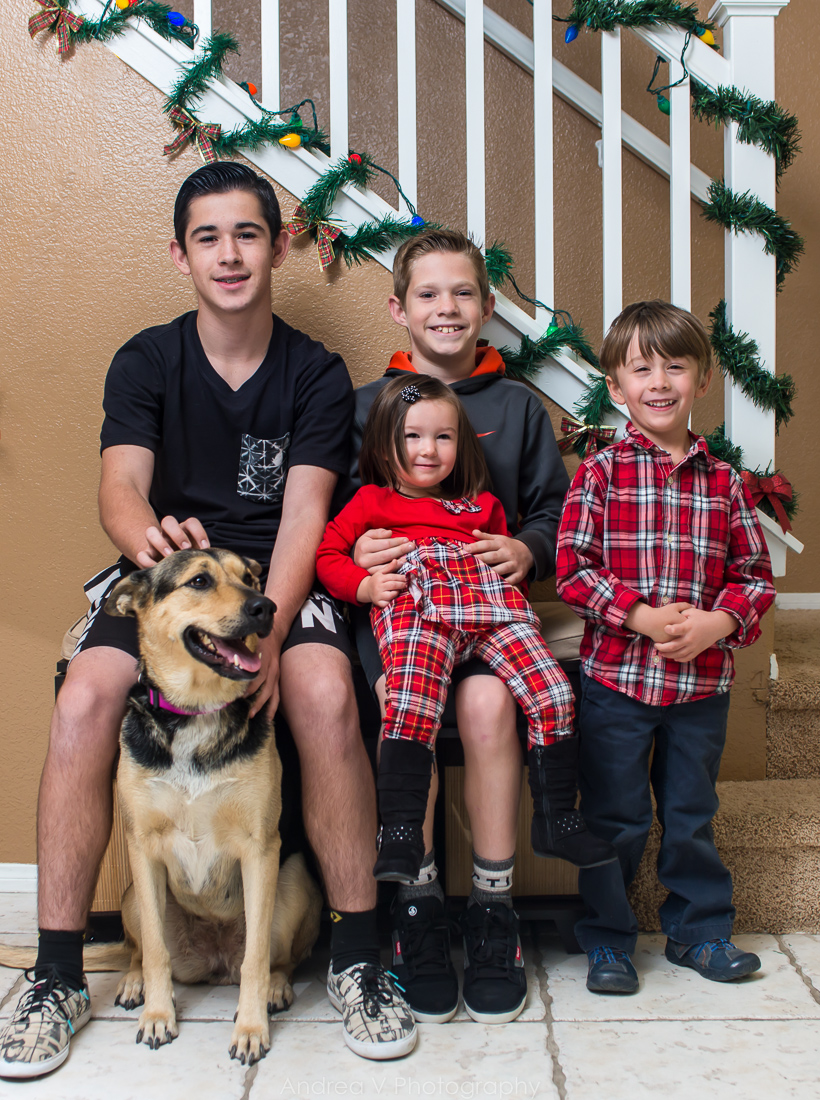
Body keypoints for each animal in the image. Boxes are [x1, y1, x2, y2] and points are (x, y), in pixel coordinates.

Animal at [0, 548, 322, 1066]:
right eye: (199, 581)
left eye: (250, 578)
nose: (266, 607)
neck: (196, 714)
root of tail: (213, 960)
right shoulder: (143, 847)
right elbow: (153, 951)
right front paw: (156, 1014)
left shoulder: (260, 849)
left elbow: (255, 959)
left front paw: (251, 1027)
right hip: (133, 893)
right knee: (138, 950)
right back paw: (134, 984)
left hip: (294, 883)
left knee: (275, 958)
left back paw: (274, 987)